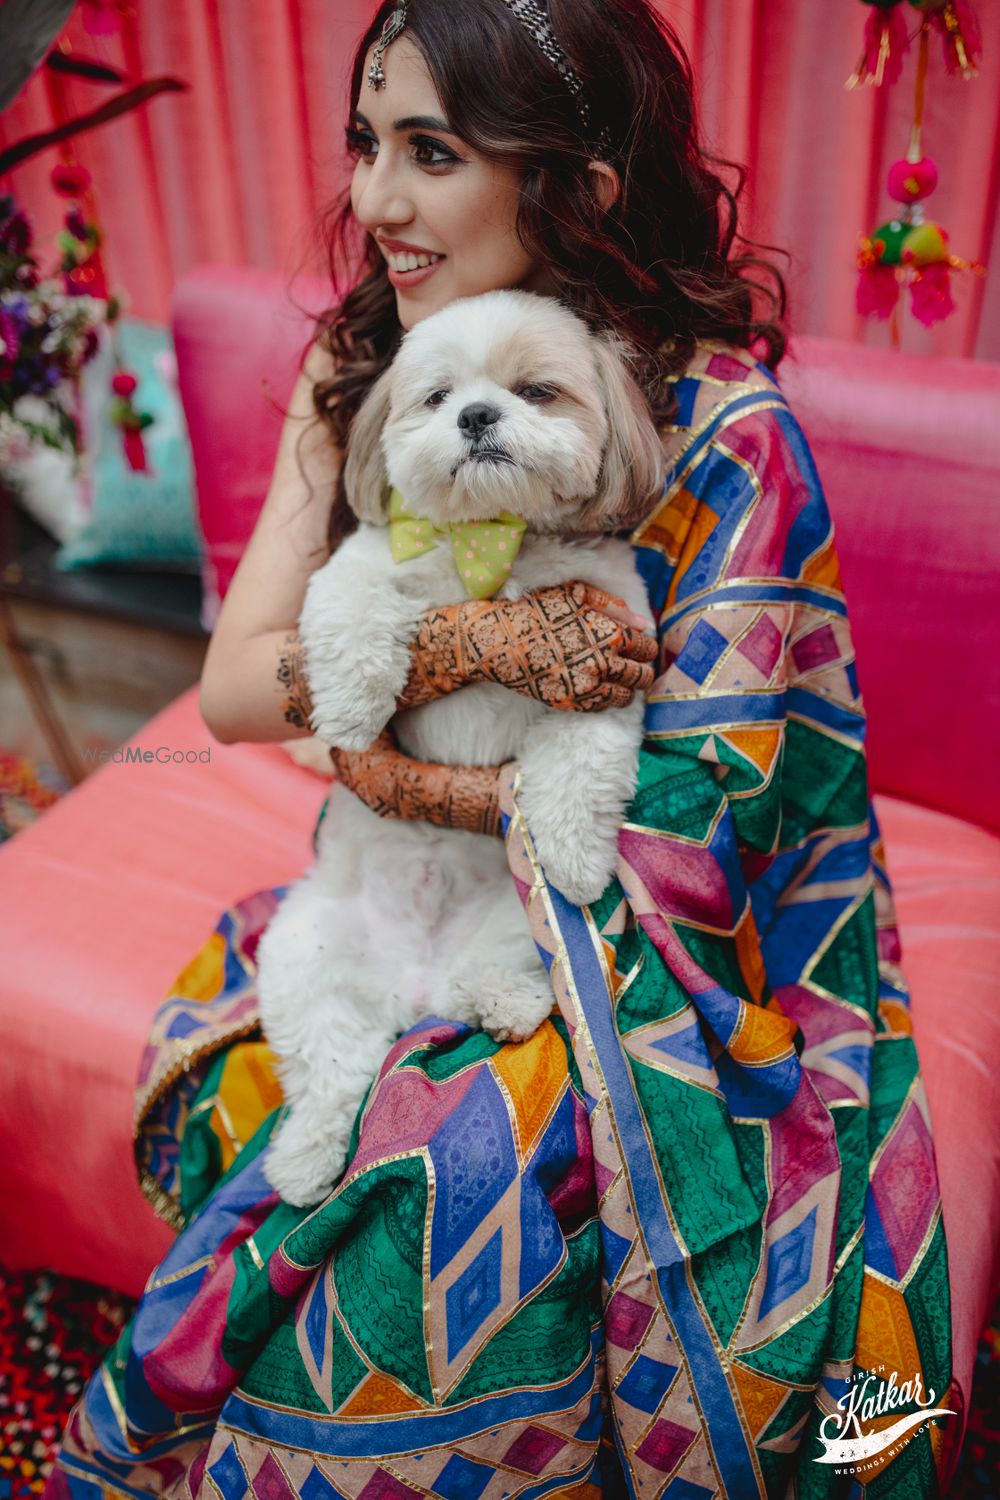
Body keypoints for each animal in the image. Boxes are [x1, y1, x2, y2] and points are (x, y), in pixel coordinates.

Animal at [257, 289, 665, 1206]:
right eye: (437, 397)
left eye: (537, 391)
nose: (478, 415)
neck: (493, 541)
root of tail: (407, 995)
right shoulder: (365, 563)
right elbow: (354, 614)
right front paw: (351, 713)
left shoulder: (605, 660)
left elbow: (581, 763)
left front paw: (576, 853)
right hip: (302, 955)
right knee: (329, 1070)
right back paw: (304, 1162)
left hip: (519, 923)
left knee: (487, 977)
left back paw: (502, 1004)